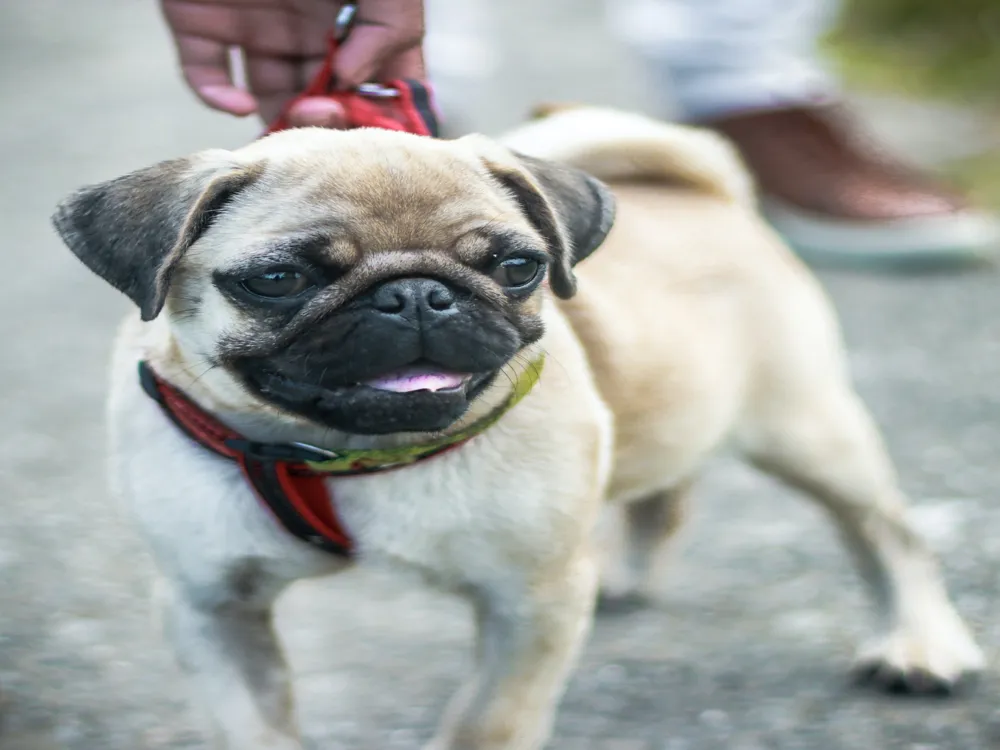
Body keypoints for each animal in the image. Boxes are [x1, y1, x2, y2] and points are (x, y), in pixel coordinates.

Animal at [50, 107, 980, 750]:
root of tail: (708, 192)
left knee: (888, 533)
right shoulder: (210, 605)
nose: (415, 294)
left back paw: (921, 644)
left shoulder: (530, 603)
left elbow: (488, 721)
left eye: (517, 266)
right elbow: (251, 725)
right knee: (665, 490)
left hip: (808, 431)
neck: (349, 458)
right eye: (277, 279)